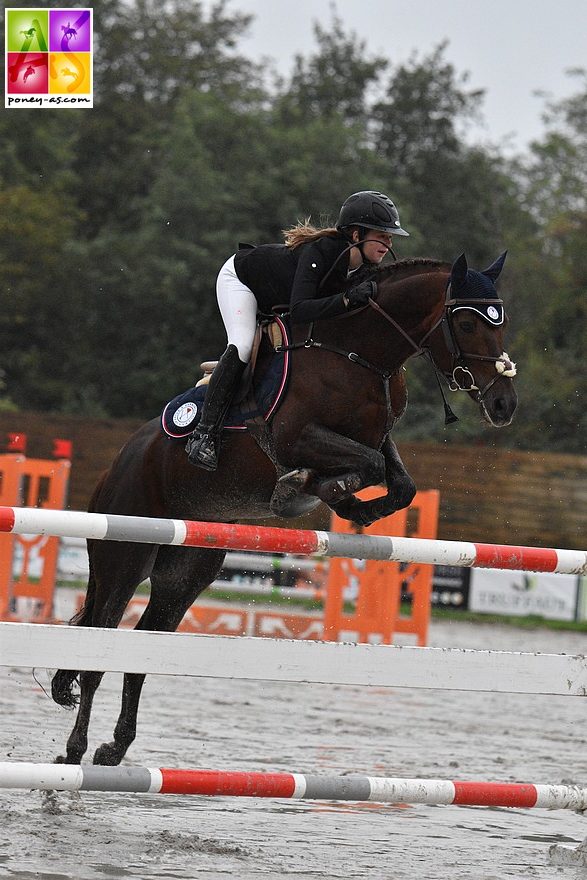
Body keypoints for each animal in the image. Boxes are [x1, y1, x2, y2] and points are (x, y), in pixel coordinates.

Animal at [51, 251, 520, 768]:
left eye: (500, 323)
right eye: (468, 323)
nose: (504, 405)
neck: (358, 355)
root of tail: (116, 466)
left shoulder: (376, 438)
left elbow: (399, 483)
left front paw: (338, 500)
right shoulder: (297, 437)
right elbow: (366, 466)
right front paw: (304, 487)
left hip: (186, 572)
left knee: (140, 652)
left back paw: (113, 749)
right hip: (125, 558)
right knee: (97, 649)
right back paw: (74, 751)